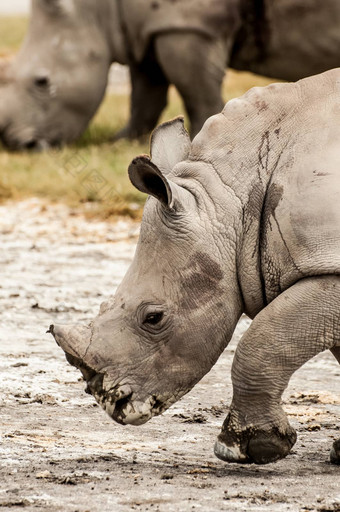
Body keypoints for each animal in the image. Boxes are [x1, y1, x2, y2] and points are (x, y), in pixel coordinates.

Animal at [0, 0, 340, 150]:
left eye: (42, 82)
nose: (16, 144)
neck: (98, 10)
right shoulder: (145, 31)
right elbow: (145, 94)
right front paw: (122, 142)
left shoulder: (186, 25)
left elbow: (195, 92)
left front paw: (204, 137)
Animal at [50, 67, 340, 464]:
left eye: (153, 318)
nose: (112, 404)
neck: (231, 199)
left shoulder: (329, 268)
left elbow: (263, 341)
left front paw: (249, 448)